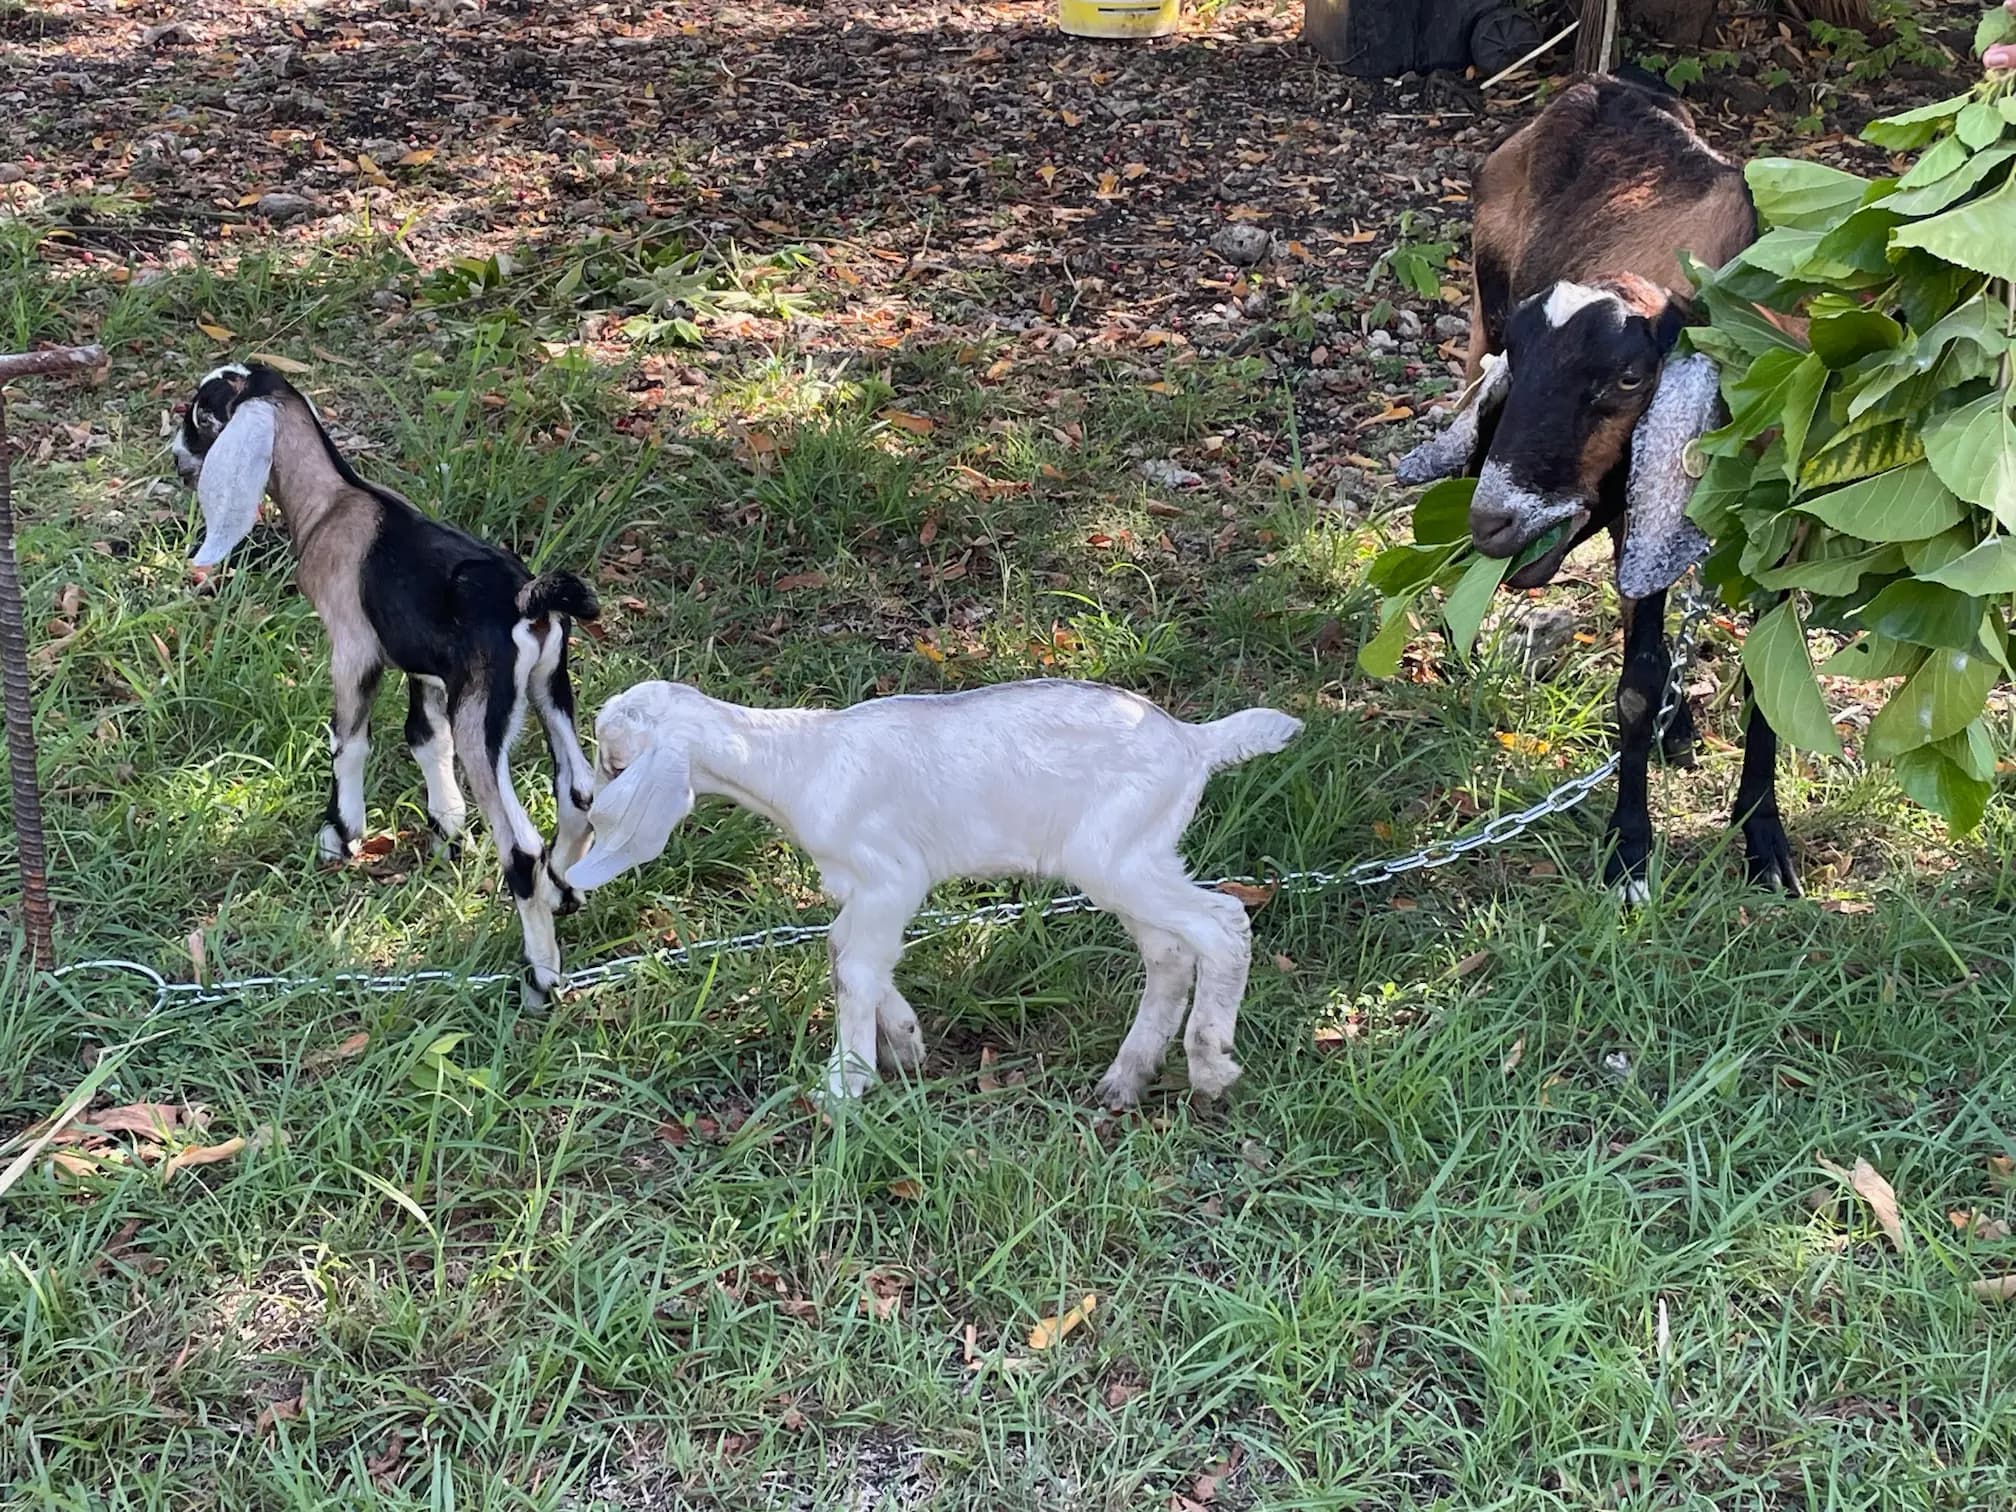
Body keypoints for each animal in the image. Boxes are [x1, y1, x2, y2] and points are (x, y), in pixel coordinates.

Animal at [171, 362, 600, 1005]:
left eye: (202, 414)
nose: (177, 458)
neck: (333, 503)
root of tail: (529, 601)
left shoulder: (353, 649)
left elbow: (349, 741)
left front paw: (340, 833)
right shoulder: (426, 667)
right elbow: (424, 738)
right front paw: (447, 831)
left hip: (484, 714)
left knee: (520, 847)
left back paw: (540, 974)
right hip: (551, 688)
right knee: (577, 793)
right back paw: (563, 890)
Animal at [562, 678, 1304, 1107]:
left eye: (615, 761)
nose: (584, 802)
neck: (798, 763)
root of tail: (1194, 743)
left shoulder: (891, 877)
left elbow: (855, 968)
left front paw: (845, 1083)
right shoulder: (859, 888)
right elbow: (843, 952)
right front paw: (905, 1041)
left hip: (1116, 857)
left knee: (1222, 923)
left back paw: (1210, 1067)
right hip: (1133, 857)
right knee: (1170, 952)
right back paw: (1126, 1079)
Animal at [1395, 73, 1796, 900]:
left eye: (1630, 376)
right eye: (1519, 363)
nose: (1495, 523)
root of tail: (1593, 85)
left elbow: (1763, 680)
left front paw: (1764, 840)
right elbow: (1638, 682)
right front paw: (1630, 856)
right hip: (1479, 302)